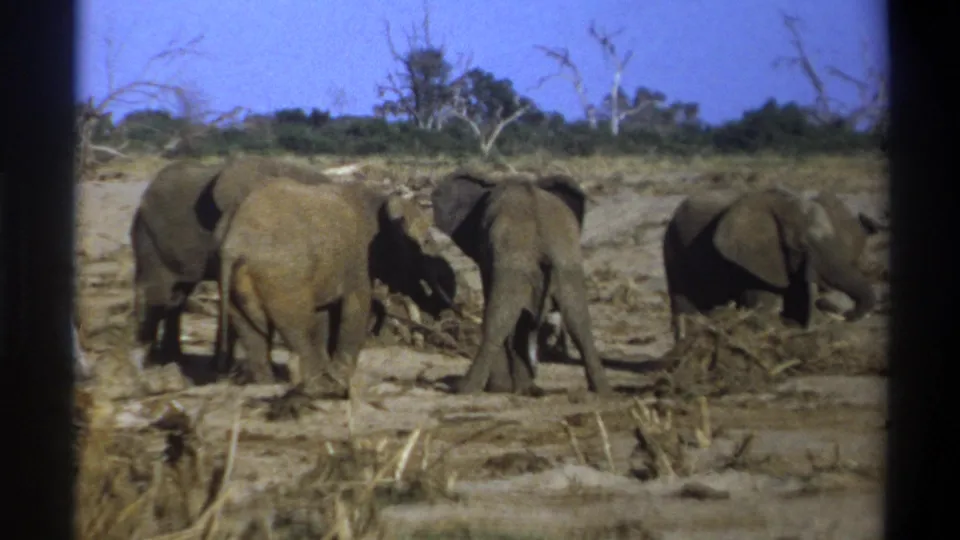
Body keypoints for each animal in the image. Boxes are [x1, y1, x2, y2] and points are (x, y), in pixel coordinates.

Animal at [130, 155, 340, 365]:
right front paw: (222, 367)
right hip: (150, 239)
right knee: (160, 296)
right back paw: (152, 359)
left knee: (177, 296)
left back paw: (171, 358)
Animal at [215, 178, 457, 398]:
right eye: (424, 243)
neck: (381, 200)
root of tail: (234, 244)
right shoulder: (359, 259)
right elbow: (357, 305)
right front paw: (339, 377)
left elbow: (324, 313)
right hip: (284, 276)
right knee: (298, 327)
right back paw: (319, 388)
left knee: (250, 330)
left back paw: (267, 384)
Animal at [430, 171, 613, 396]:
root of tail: (542, 244)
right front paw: (520, 387)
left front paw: (504, 388)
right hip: (566, 264)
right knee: (578, 320)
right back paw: (602, 392)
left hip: (518, 264)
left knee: (498, 319)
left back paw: (467, 389)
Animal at [662, 186, 878, 342]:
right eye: (803, 245)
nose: (847, 314)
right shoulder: (752, 261)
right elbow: (764, 303)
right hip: (673, 250)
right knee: (683, 302)